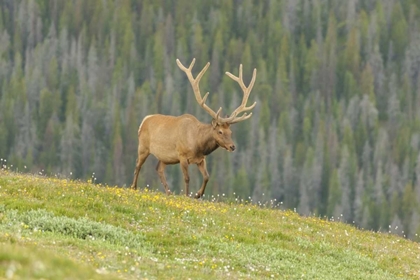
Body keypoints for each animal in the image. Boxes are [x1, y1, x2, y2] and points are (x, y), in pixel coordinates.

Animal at [130, 58, 256, 199]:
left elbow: (207, 176)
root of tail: (143, 121)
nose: (232, 146)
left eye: (230, 132)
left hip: (165, 157)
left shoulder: (201, 159)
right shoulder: (182, 156)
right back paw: (133, 187)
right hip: (143, 147)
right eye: (220, 131)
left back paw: (169, 192)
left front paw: (197, 194)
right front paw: (187, 196)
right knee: (137, 165)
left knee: (159, 169)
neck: (198, 144)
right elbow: (187, 178)